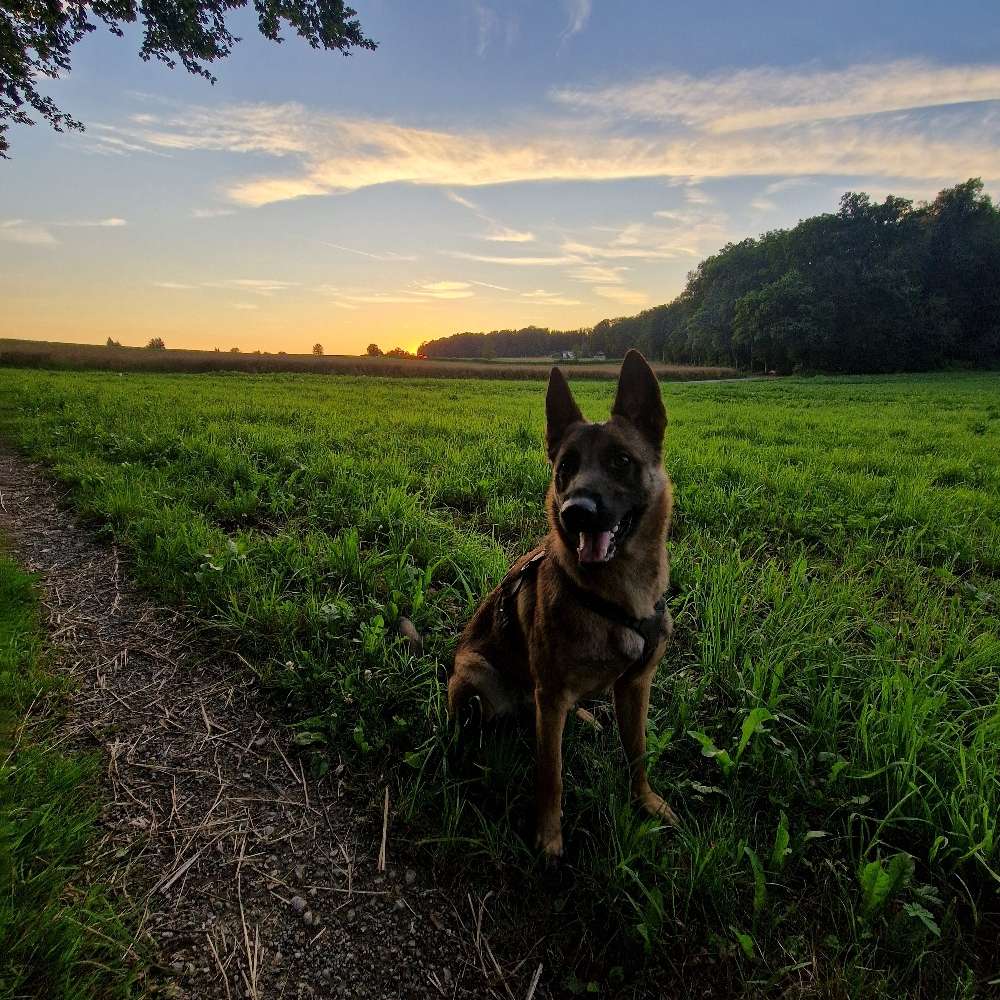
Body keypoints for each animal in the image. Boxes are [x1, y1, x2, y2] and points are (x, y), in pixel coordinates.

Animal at [450, 350, 676, 860]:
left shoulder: (636, 687)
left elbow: (638, 752)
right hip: (477, 677)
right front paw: (549, 836)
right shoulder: (550, 698)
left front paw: (646, 801)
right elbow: (550, 774)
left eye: (620, 461)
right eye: (566, 467)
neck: (614, 598)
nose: (576, 512)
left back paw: (586, 716)